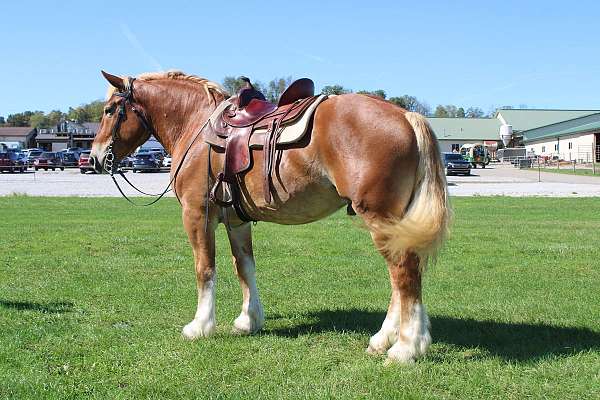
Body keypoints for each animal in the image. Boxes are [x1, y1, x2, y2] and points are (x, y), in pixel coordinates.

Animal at [90, 70, 450, 364]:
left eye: (109, 110)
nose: (94, 158)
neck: (197, 127)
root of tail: (406, 115)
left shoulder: (196, 214)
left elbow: (205, 269)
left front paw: (200, 326)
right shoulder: (236, 221)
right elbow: (244, 267)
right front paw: (248, 321)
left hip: (380, 218)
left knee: (404, 275)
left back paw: (405, 348)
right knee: (401, 279)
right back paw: (384, 340)